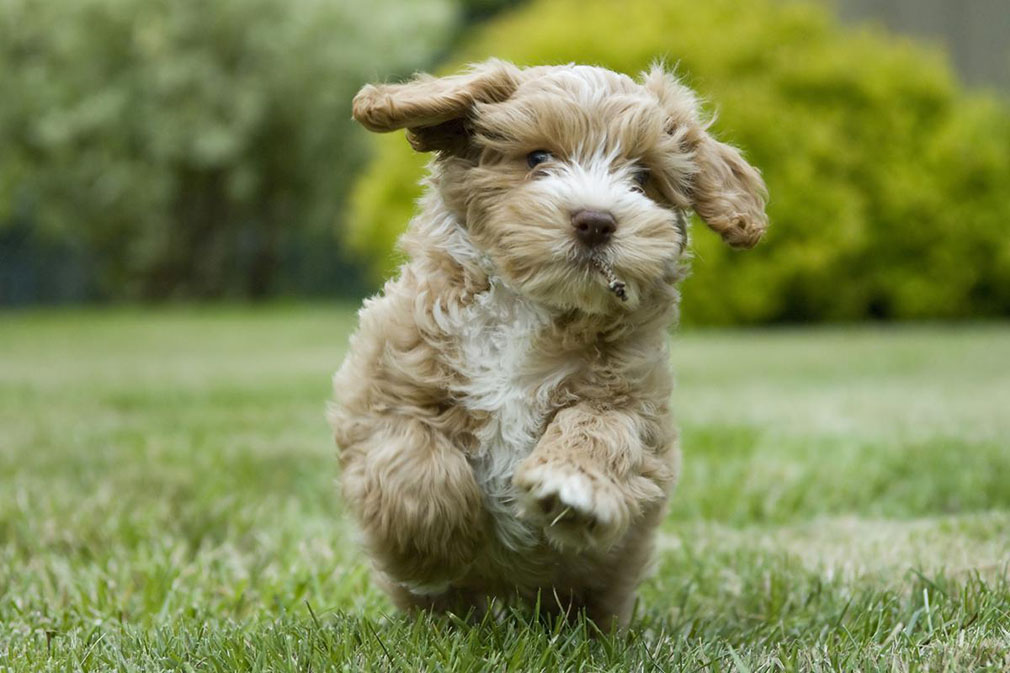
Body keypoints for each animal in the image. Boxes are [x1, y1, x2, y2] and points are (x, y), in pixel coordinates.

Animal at [331, 60, 763, 626]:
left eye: (642, 177)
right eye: (538, 158)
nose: (596, 221)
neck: (528, 307)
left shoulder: (634, 400)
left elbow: (599, 428)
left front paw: (571, 488)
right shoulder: (384, 383)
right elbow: (414, 460)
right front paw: (433, 552)